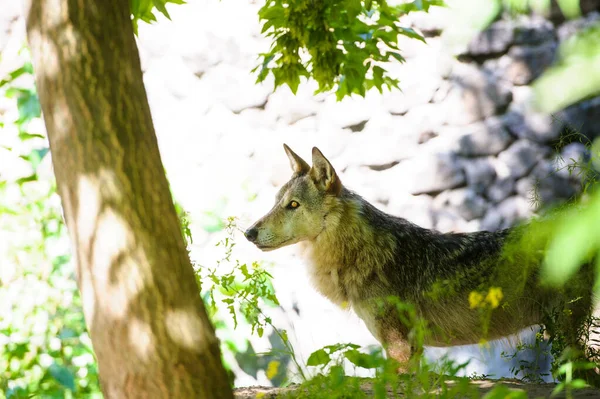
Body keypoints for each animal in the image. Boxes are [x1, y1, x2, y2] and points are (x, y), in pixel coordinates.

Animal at [243, 144, 596, 378]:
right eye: (277, 202)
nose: (248, 232)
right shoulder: (411, 350)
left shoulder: (398, 349)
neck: (358, 251)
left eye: (293, 205)